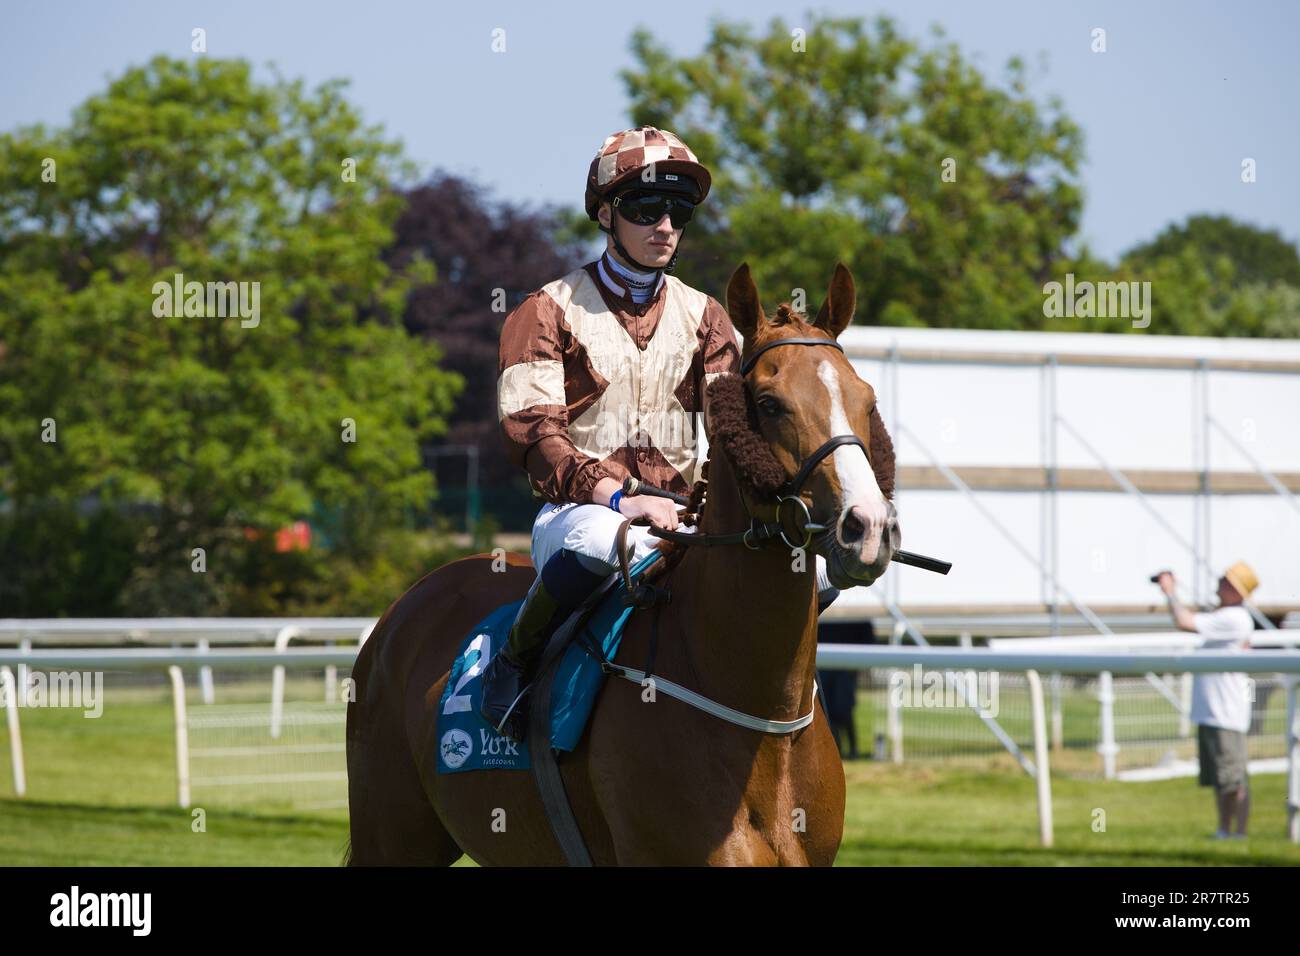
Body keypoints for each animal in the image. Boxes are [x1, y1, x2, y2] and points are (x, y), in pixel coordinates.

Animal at [340, 261, 899, 868]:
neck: (758, 716)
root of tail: (404, 609)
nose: (867, 526)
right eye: (770, 403)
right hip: (390, 835)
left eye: (867, 399)